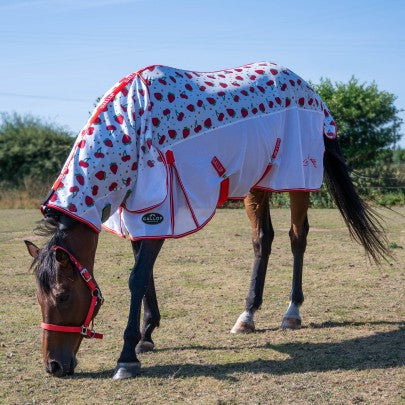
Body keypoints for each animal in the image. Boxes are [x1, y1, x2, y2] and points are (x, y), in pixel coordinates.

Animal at [22, 61, 388, 378]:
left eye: (63, 295)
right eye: (38, 297)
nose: (54, 366)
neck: (132, 129)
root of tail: (312, 93)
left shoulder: (158, 212)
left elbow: (137, 278)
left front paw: (127, 357)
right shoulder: (138, 214)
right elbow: (145, 275)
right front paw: (147, 334)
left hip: (297, 178)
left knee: (297, 237)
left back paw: (292, 312)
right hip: (256, 183)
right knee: (262, 240)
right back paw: (247, 315)